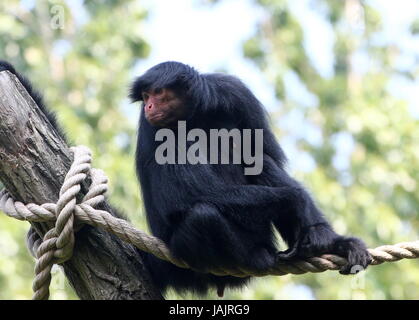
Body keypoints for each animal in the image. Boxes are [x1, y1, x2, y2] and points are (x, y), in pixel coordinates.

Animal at [1, 60, 372, 298]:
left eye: (159, 93)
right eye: (146, 97)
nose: (150, 106)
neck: (196, 115)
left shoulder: (235, 93)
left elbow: (269, 157)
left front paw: (325, 235)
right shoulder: (154, 128)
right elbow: (185, 199)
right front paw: (299, 204)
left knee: (252, 155)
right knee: (203, 214)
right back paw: (259, 258)